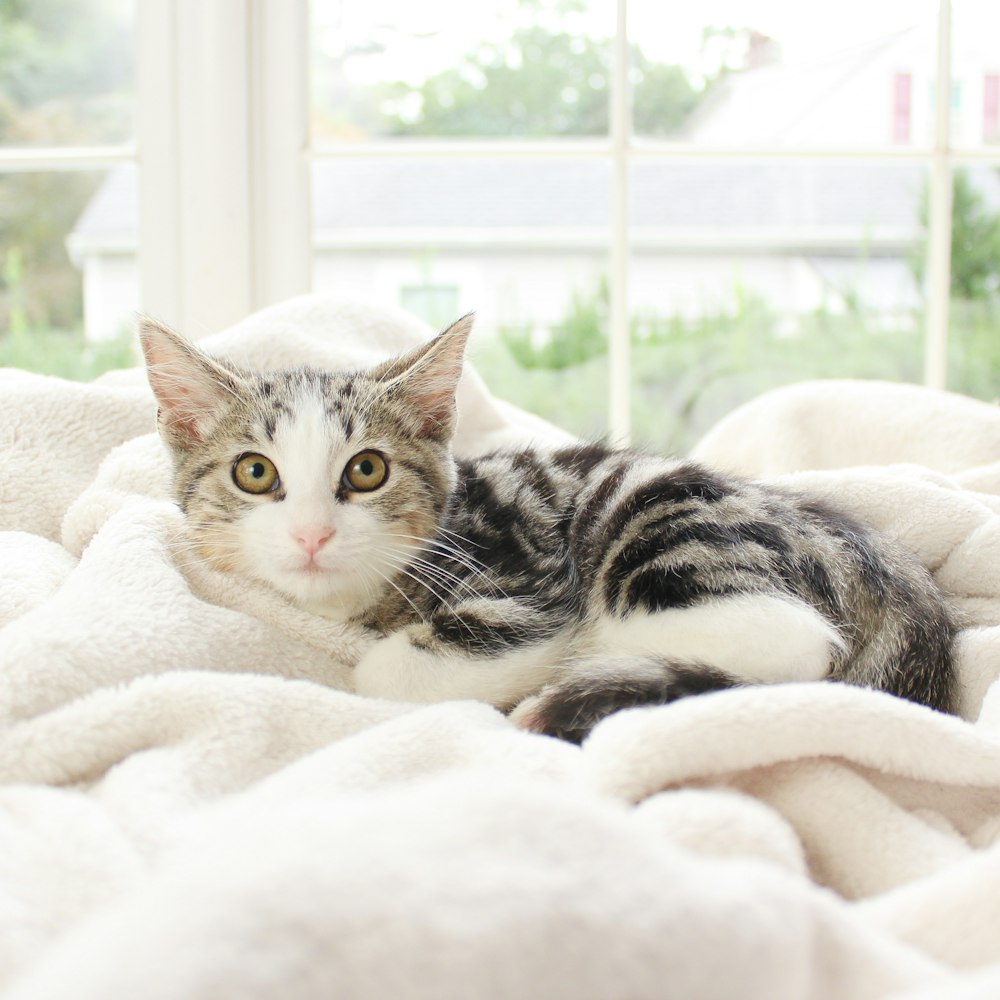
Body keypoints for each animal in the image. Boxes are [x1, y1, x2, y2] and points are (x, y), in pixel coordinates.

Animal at [137, 314, 956, 744]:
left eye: (366, 470)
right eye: (255, 473)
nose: (312, 535)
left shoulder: (523, 583)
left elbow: (387, 672)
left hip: (661, 532)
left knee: (791, 647)